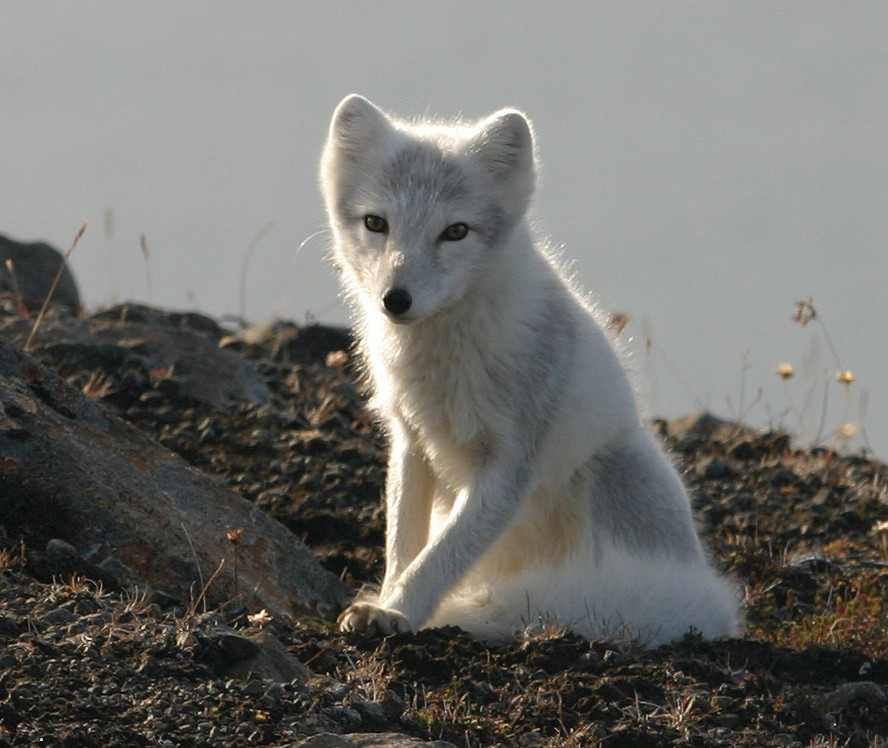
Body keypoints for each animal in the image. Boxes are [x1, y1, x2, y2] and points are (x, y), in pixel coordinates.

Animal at [322, 92, 740, 644]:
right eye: (376, 223)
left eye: (455, 232)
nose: (396, 300)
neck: (442, 353)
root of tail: (714, 607)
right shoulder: (411, 440)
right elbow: (404, 545)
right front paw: (386, 600)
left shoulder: (509, 462)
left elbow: (440, 556)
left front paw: (399, 613)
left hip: (610, 470)